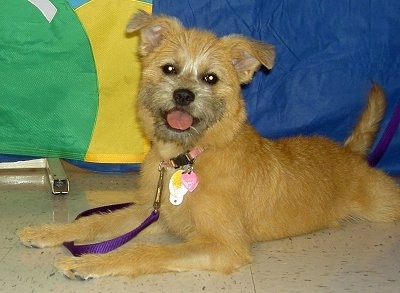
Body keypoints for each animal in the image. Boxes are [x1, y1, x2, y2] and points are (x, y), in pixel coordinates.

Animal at [18, 10, 400, 278]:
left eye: (210, 78)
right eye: (169, 69)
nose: (183, 96)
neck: (186, 157)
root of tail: (348, 153)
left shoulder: (224, 245)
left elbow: (147, 252)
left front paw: (88, 264)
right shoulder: (149, 211)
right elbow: (95, 223)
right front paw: (50, 231)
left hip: (385, 204)